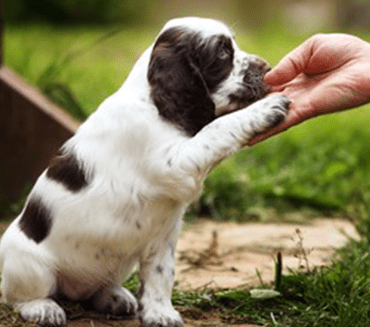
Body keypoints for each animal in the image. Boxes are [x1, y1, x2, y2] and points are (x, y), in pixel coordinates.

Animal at [0, 18, 290, 327]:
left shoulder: (163, 235)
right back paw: (42, 308)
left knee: (95, 290)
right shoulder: (175, 163)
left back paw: (114, 297)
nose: (268, 68)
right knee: (19, 296)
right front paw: (264, 109)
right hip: (30, 265)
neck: (153, 103)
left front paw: (159, 313)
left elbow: (160, 275)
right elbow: (216, 129)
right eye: (222, 52)